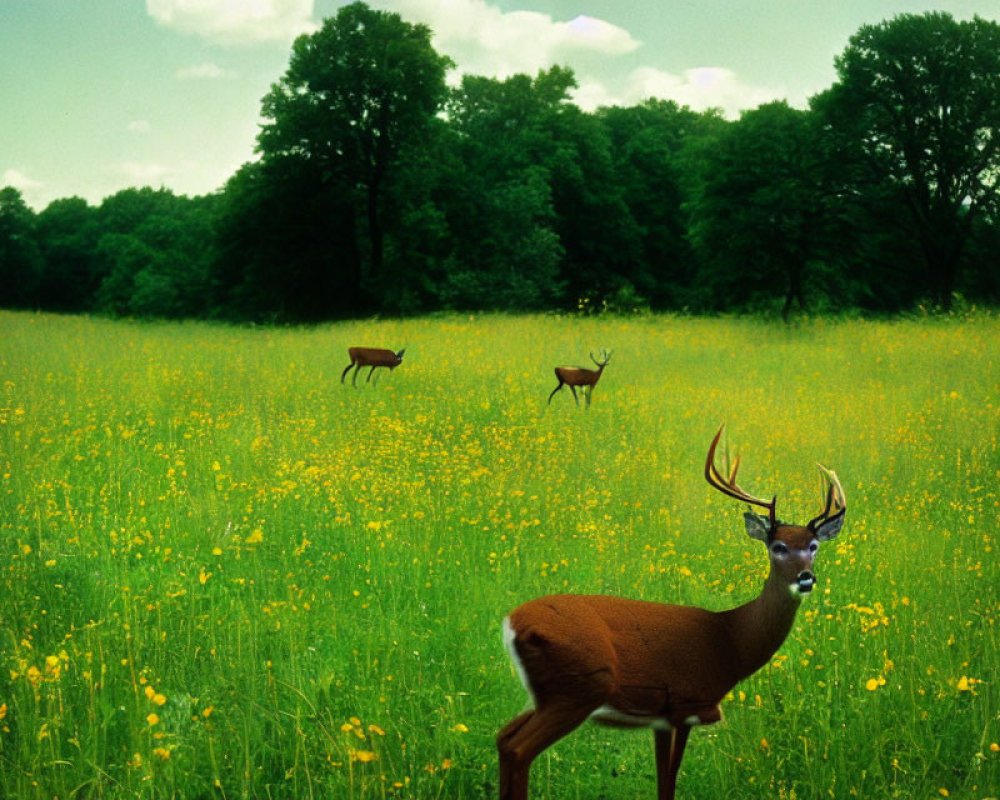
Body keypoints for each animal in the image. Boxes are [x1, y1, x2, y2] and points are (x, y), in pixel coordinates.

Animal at [496, 422, 848, 796]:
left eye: (813, 545)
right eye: (778, 546)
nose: (806, 578)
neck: (732, 640)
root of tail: (512, 623)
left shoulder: (661, 720)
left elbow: (663, 780)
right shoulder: (686, 705)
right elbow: (671, 779)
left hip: (543, 695)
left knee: (503, 738)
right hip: (577, 688)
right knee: (518, 748)